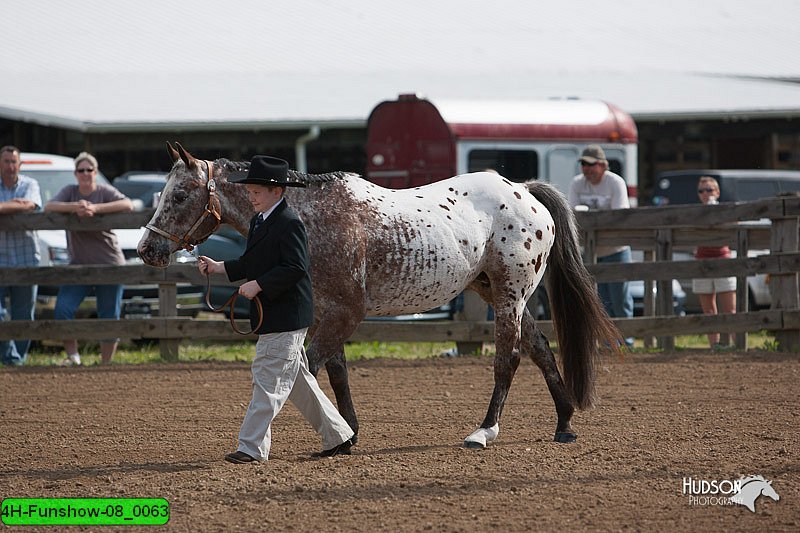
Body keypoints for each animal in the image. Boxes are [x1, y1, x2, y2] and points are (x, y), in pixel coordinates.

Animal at [139, 142, 624, 448]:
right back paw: (564, 423)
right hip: (496, 293)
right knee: (540, 348)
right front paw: (347, 431)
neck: (313, 218)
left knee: (510, 360)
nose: (147, 249)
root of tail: (524, 190)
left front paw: (328, 434)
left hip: (510, 295)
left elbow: (307, 371)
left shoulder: (345, 313)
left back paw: (484, 431)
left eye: (180, 194)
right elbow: (335, 373)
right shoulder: (326, 313)